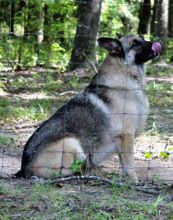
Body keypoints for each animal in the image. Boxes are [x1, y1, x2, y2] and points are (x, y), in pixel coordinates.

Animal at [15, 35, 161, 181]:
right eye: (135, 44)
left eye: (142, 38)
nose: (156, 44)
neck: (124, 72)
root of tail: (23, 169)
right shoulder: (127, 137)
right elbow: (130, 164)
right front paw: (134, 181)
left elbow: (124, 164)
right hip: (72, 143)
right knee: (59, 173)